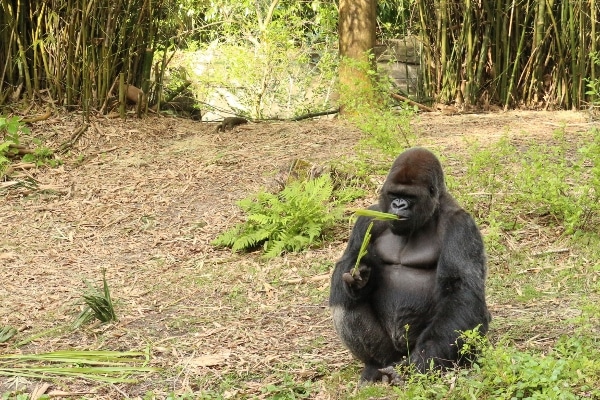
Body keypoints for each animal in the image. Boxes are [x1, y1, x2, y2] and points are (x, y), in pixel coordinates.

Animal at [330, 148, 490, 384]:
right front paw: (361, 277)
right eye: (394, 194)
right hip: (390, 355)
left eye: (409, 197)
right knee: (343, 301)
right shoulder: (369, 220)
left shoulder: (461, 226)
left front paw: (419, 364)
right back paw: (374, 365)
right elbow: (347, 262)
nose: (398, 205)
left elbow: (460, 290)